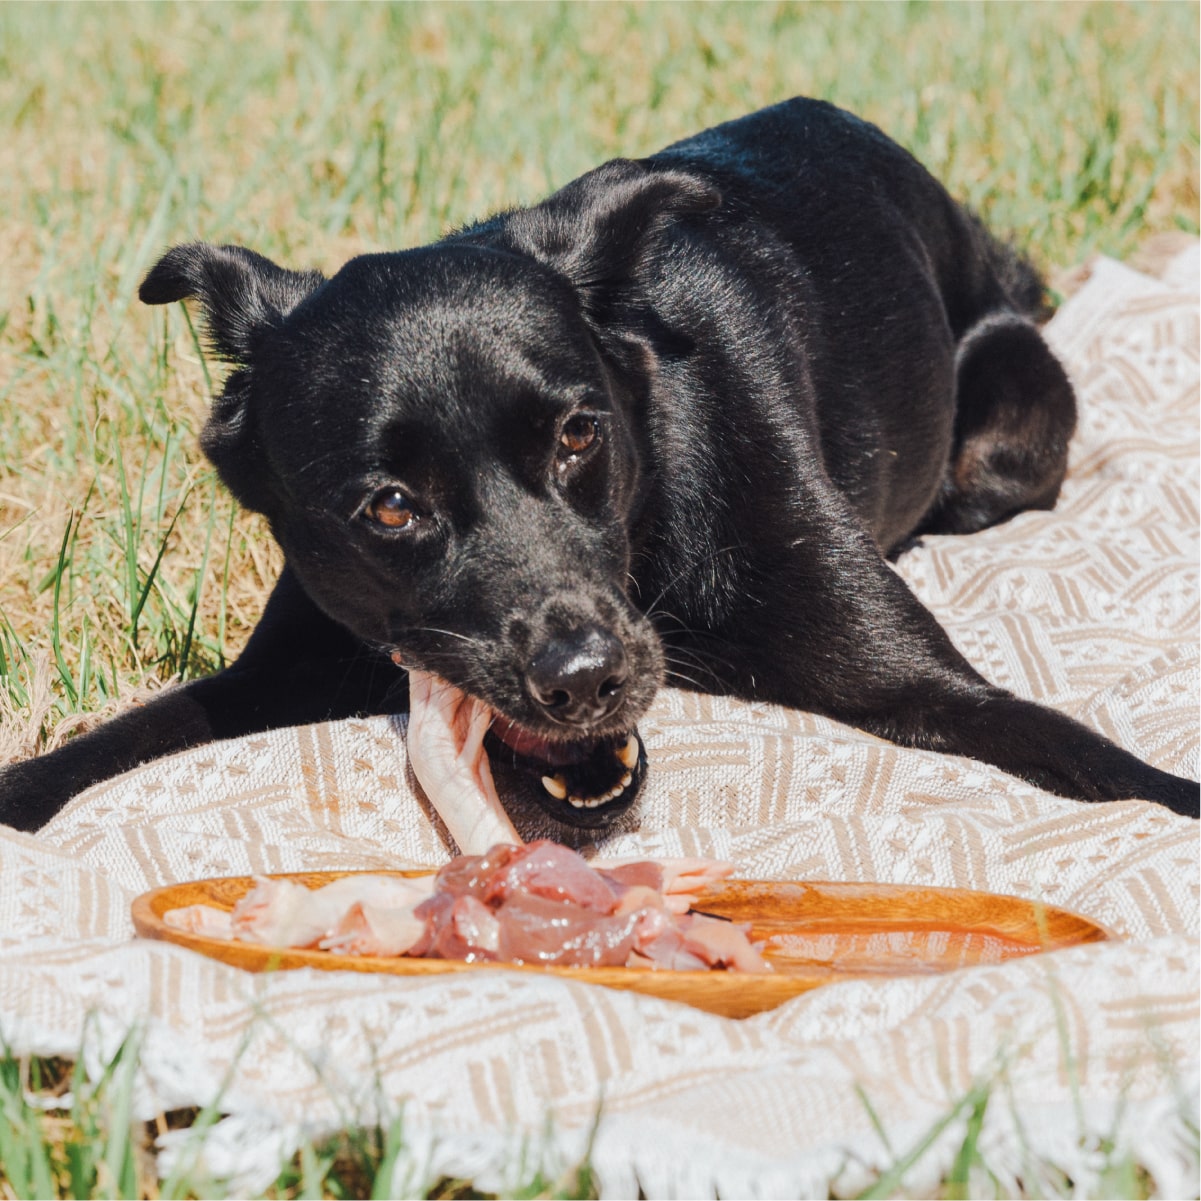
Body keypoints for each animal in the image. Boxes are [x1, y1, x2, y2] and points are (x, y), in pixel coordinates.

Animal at [2, 96, 1201, 835]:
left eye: (579, 436)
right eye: (389, 507)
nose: (583, 678)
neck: (656, 514)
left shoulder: (929, 684)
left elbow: (1107, 769)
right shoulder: (274, 677)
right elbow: (123, 736)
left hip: (1001, 435)